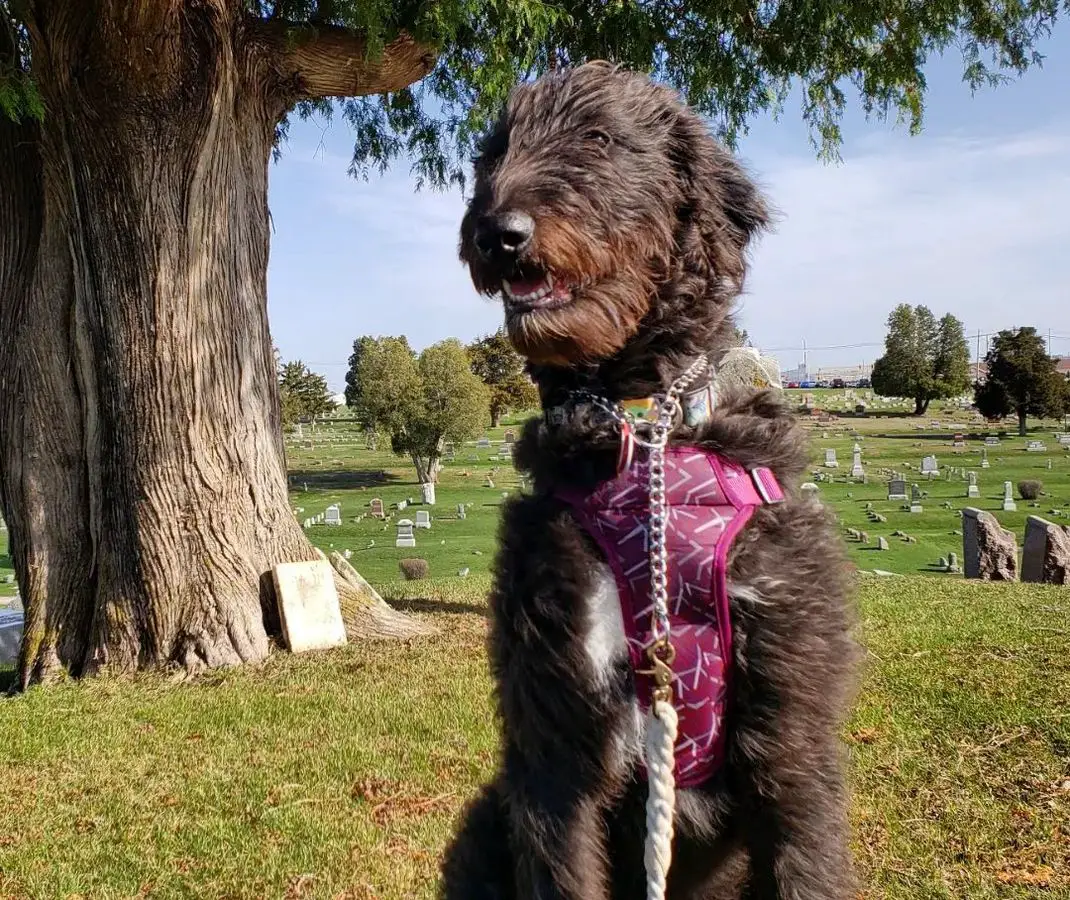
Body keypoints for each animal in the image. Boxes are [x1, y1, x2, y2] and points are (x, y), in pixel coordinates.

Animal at [438, 63, 856, 898]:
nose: (495, 235)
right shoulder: (554, 739)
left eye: (599, 138)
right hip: (486, 821)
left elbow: (807, 853)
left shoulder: (793, 727)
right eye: (493, 151)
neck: (648, 432)